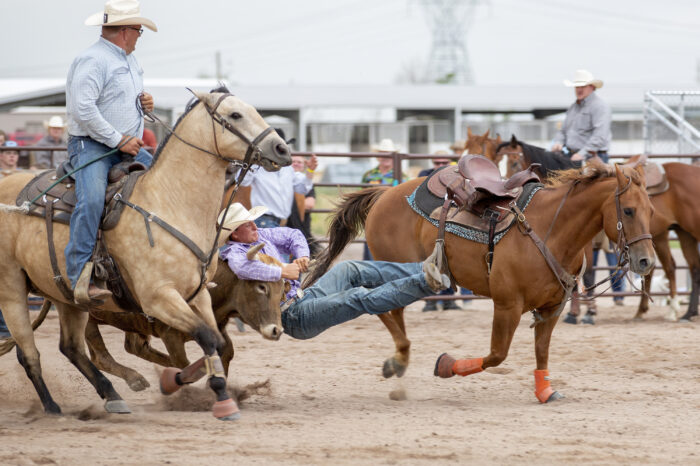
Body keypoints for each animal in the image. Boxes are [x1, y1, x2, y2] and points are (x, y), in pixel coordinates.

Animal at [0, 85, 292, 420]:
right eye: (235, 115)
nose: (282, 149)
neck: (169, 203)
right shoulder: (159, 299)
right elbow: (204, 339)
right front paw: (209, 393)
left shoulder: (197, 295)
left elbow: (217, 342)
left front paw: (213, 387)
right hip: (12, 289)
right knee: (30, 353)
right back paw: (51, 407)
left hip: (66, 296)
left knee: (71, 348)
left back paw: (113, 396)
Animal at [308, 159, 656, 400]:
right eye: (627, 210)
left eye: (651, 209)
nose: (646, 261)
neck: (551, 230)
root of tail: (386, 193)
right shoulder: (507, 305)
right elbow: (496, 355)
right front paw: (446, 365)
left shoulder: (551, 308)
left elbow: (541, 351)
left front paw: (544, 391)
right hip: (394, 269)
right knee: (379, 305)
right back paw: (399, 361)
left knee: (389, 309)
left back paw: (399, 361)